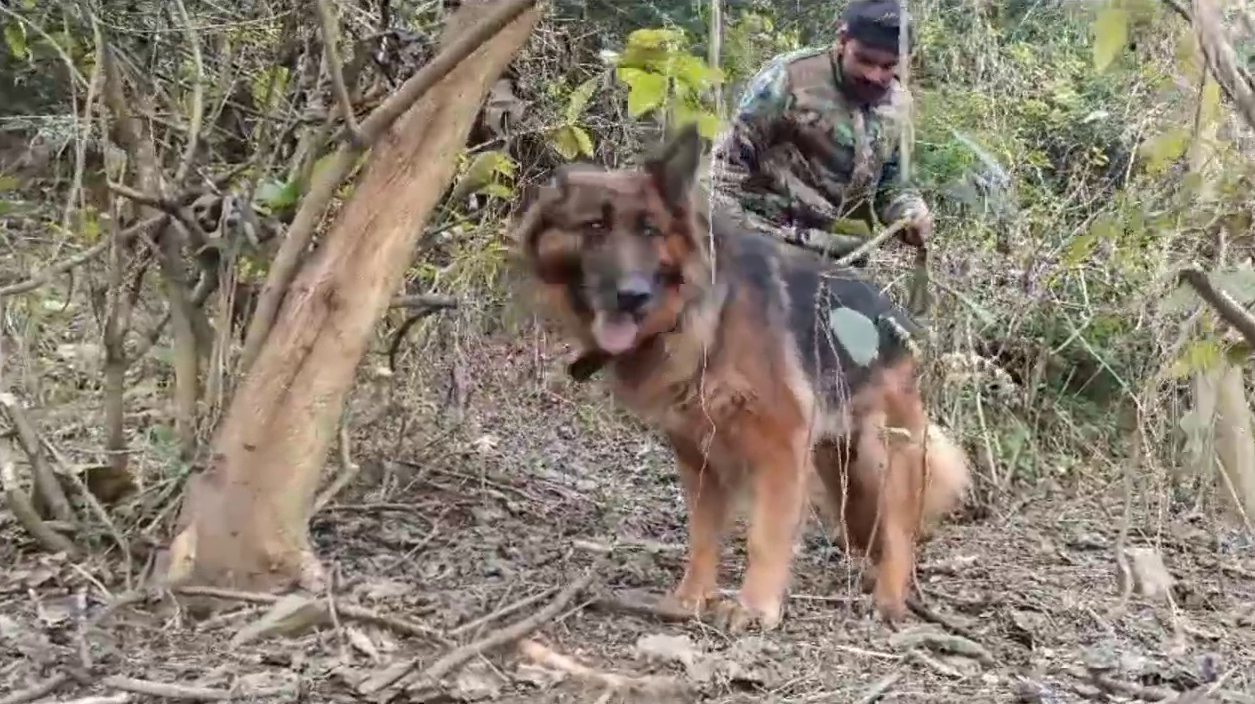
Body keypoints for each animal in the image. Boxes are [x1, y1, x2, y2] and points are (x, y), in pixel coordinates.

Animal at [509, 123, 968, 627]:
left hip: (880, 454)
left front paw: (755, 606)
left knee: (901, 530)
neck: (699, 318)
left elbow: (765, 536)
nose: (631, 296)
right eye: (594, 227)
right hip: (836, 461)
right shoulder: (697, 455)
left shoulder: (780, 446)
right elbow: (702, 535)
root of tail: (900, 318)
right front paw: (692, 598)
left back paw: (889, 598)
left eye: (651, 230)